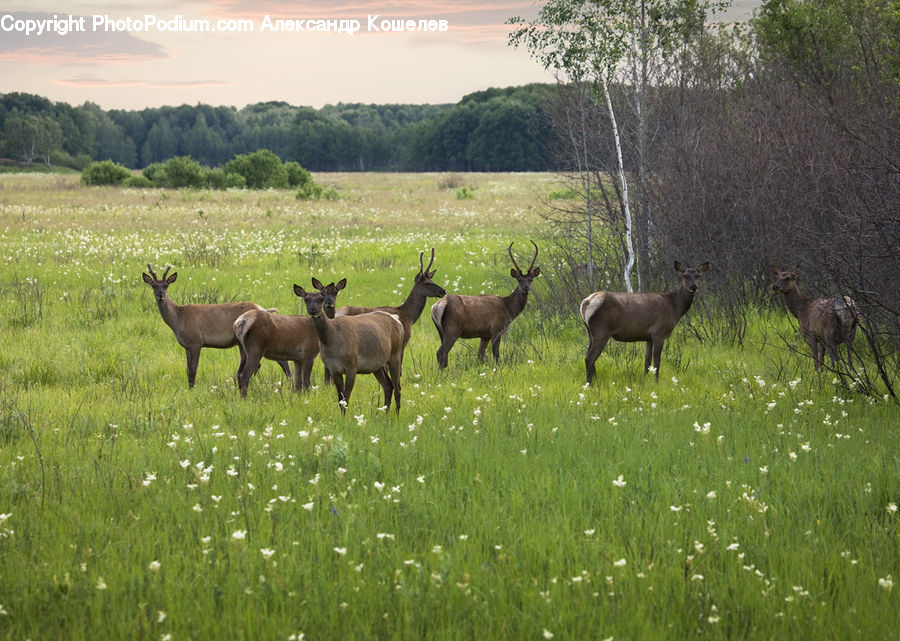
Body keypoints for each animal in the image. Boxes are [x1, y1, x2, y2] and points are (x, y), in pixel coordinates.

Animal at [141, 264, 291, 388]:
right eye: (153, 285)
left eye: (166, 285)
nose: (160, 295)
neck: (179, 319)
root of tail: (264, 309)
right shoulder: (186, 346)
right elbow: (187, 369)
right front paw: (189, 388)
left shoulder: (196, 341)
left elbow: (193, 369)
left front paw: (192, 389)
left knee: (278, 362)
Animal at [295, 278, 405, 414]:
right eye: (306, 299)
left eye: (321, 298)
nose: (313, 310)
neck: (332, 340)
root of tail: (398, 321)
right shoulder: (333, 368)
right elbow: (340, 398)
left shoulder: (352, 365)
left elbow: (346, 398)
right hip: (377, 365)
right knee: (388, 386)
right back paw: (385, 414)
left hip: (396, 353)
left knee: (397, 387)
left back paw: (396, 415)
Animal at [431, 240, 540, 369]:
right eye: (519, 280)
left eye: (531, 279)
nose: (526, 288)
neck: (508, 310)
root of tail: (437, 306)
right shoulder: (496, 329)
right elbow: (496, 355)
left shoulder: (484, 335)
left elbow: (480, 356)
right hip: (452, 329)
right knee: (441, 352)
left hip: (440, 330)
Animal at [580, 261, 710, 385]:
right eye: (685, 275)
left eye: (698, 275)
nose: (694, 286)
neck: (675, 308)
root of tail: (587, 302)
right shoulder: (659, 332)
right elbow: (657, 361)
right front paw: (656, 382)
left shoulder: (648, 337)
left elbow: (647, 362)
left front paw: (645, 380)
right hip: (601, 331)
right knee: (589, 358)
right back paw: (591, 384)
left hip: (591, 333)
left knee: (589, 357)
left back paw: (594, 381)